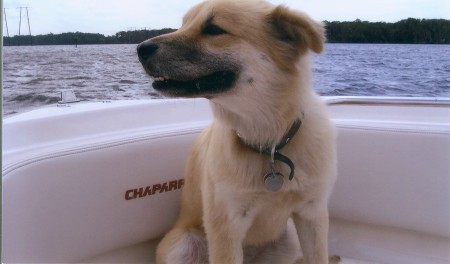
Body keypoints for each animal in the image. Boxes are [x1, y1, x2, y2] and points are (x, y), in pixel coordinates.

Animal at [137, 0, 338, 262]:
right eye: (183, 25)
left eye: (213, 29)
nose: (140, 49)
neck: (269, 145)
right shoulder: (225, 225)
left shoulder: (312, 213)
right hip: (181, 245)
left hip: (290, 241)